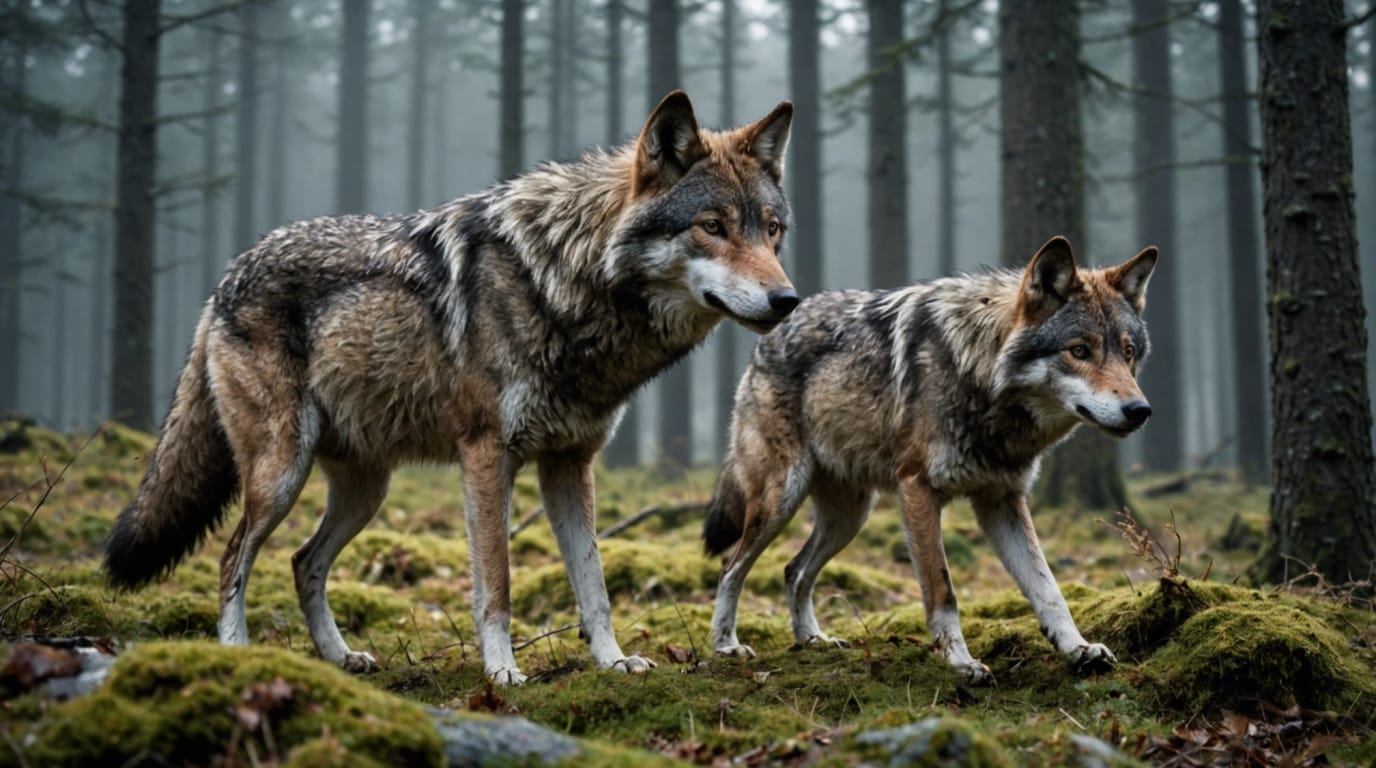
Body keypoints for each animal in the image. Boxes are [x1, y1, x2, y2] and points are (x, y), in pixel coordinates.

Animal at [104, 91, 799, 685]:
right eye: (712, 226)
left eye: (771, 230)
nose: (787, 300)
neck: (564, 282)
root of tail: (227, 275)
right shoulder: (487, 455)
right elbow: (497, 583)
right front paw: (503, 672)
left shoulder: (570, 464)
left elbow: (594, 585)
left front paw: (614, 661)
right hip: (281, 473)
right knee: (232, 559)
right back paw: (239, 655)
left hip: (366, 491)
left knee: (303, 561)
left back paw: (341, 657)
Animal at [703, 236, 1157, 683]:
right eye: (1079, 350)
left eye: (1128, 352)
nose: (1140, 410)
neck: (980, 375)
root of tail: (771, 333)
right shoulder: (918, 488)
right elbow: (943, 590)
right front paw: (960, 662)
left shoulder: (1002, 500)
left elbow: (1048, 588)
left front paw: (1079, 649)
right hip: (780, 499)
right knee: (730, 567)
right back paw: (726, 645)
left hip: (851, 517)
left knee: (793, 570)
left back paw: (813, 639)